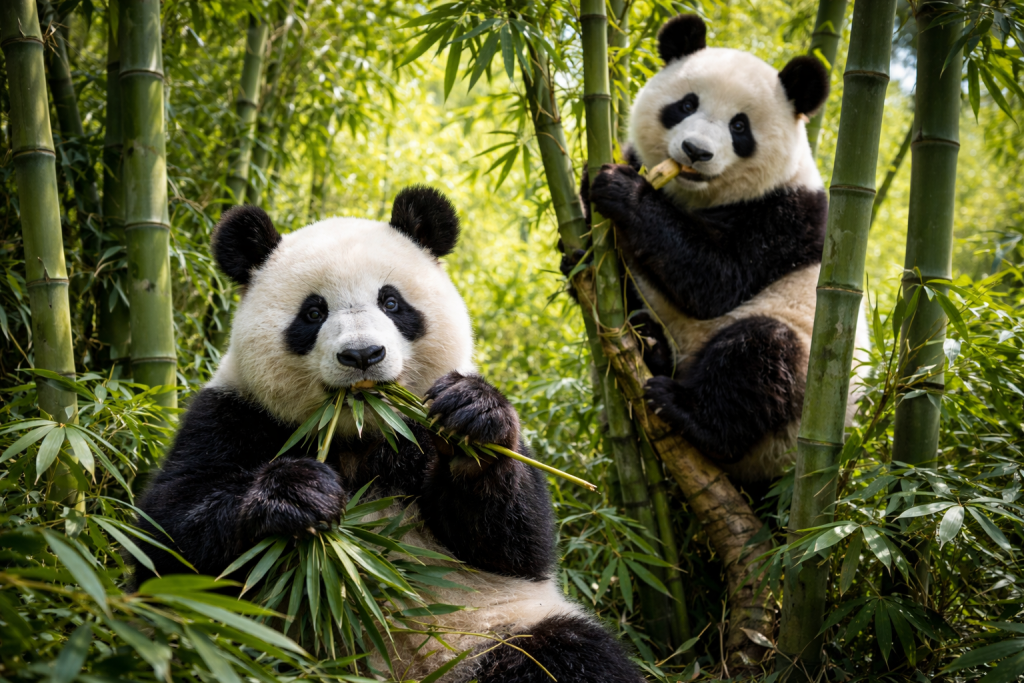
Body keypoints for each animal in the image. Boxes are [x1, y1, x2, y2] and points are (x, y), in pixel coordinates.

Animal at [133, 187, 643, 683]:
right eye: (313, 312)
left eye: (391, 302)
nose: (362, 355)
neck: (362, 430)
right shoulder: (233, 415)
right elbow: (167, 544)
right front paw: (297, 493)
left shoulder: (422, 432)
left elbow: (515, 546)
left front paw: (473, 422)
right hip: (262, 653)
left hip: (494, 629)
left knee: (569, 656)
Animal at [585, 14, 866, 486]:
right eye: (685, 105)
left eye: (739, 127)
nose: (695, 151)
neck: (695, 197)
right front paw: (578, 251)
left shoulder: (787, 217)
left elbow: (716, 282)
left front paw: (623, 191)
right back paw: (649, 344)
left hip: (799, 393)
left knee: (758, 357)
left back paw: (687, 411)